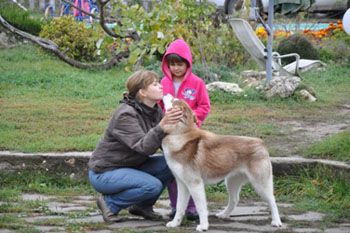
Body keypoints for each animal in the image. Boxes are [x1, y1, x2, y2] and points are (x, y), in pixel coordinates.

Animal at [163, 94, 284, 231]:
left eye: (173, 100)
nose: (167, 94)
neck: (180, 134)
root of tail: (261, 143)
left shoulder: (195, 184)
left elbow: (201, 208)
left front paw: (203, 226)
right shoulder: (182, 184)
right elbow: (179, 207)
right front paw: (175, 223)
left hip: (260, 184)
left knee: (272, 200)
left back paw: (276, 221)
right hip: (231, 182)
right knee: (234, 200)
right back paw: (224, 214)